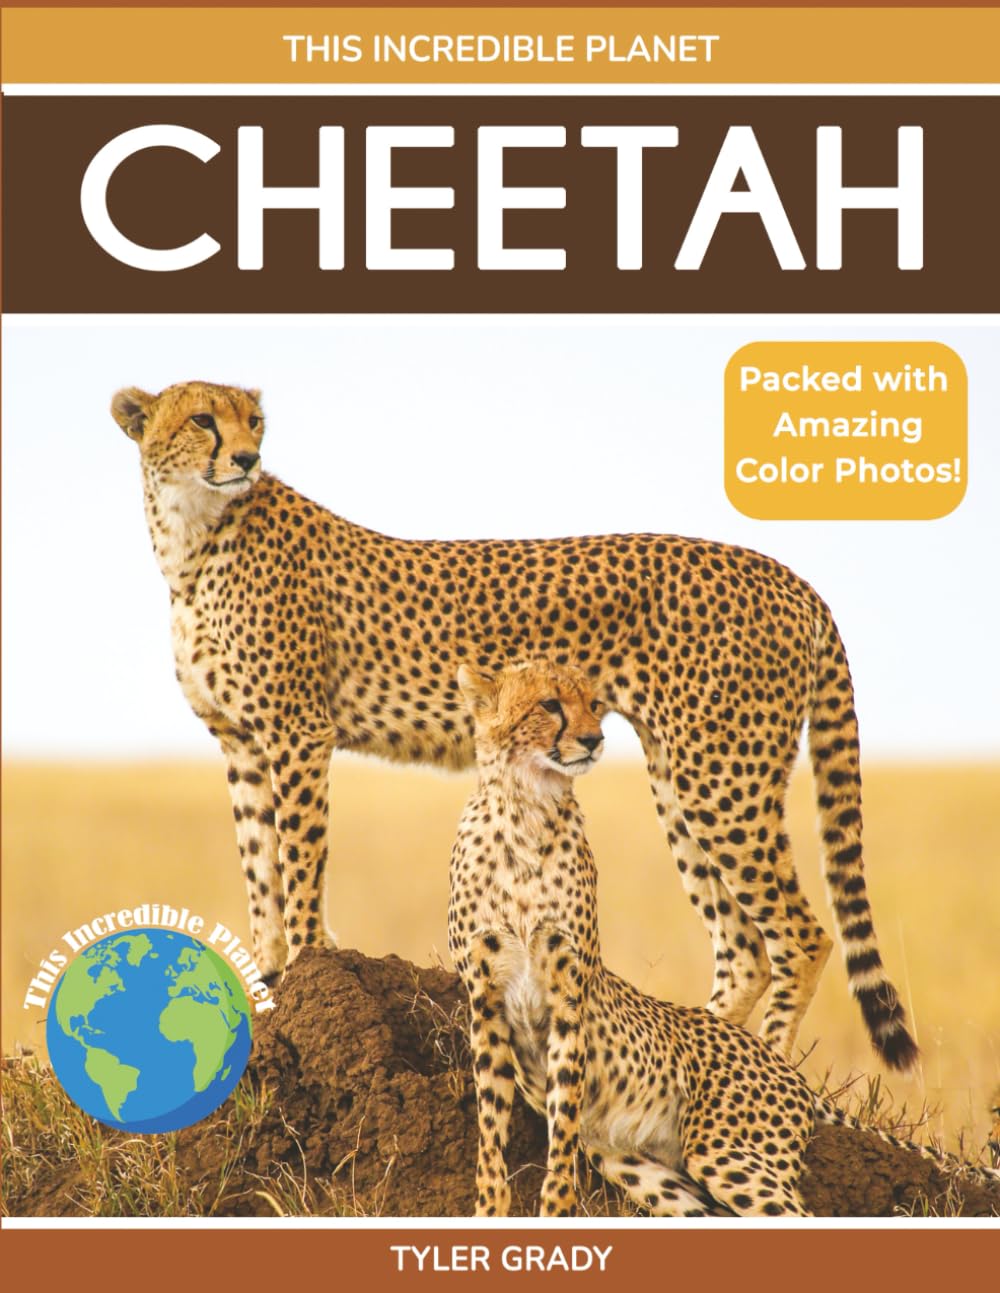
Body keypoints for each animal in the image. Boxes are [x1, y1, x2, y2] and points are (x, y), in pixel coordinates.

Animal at [111, 378, 916, 1067]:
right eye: (203, 419)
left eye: (254, 421)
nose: (247, 458)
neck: (192, 537)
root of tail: (790, 576)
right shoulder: (242, 741)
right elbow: (260, 868)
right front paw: (271, 978)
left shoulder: (297, 729)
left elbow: (299, 858)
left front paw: (311, 958)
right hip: (680, 777)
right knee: (743, 945)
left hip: (721, 776)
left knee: (801, 936)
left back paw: (764, 1070)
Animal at [448, 659, 999, 1217]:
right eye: (549, 704)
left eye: (594, 704)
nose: (593, 738)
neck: (525, 808)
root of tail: (784, 1068)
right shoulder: (486, 1002)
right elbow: (490, 1131)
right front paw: (489, 1209)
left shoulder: (567, 999)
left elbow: (561, 1134)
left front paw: (554, 1209)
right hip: (645, 1171)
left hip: (726, 1152)